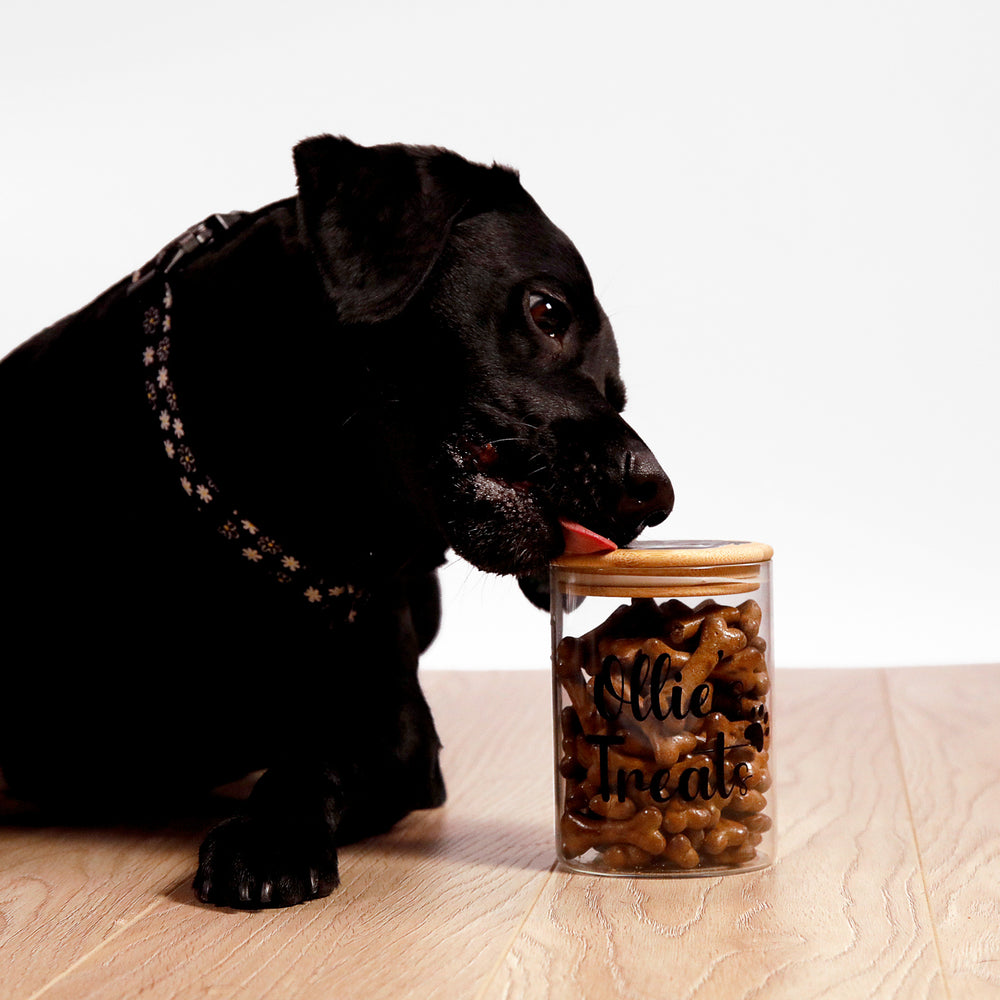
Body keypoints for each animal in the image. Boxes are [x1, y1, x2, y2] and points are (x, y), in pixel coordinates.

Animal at [1, 133, 672, 908]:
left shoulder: (395, 727)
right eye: (547, 309)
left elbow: (313, 760)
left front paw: (268, 837)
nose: (655, 494)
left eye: (615, 391)